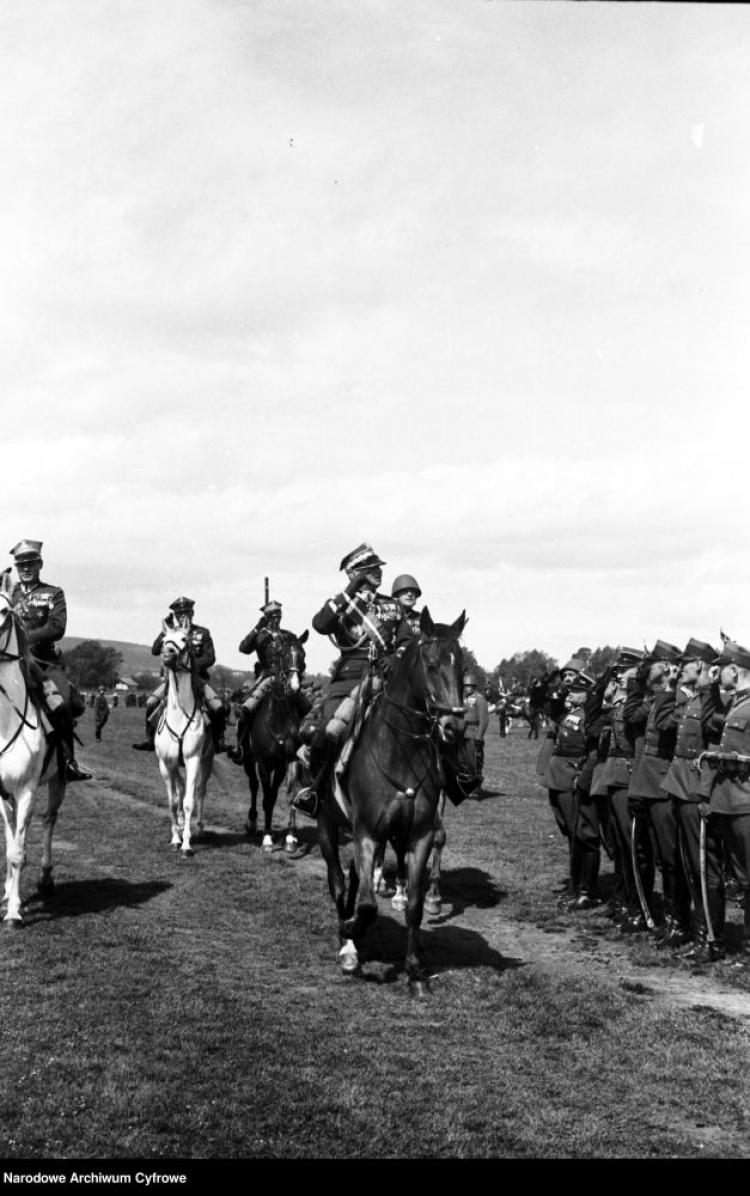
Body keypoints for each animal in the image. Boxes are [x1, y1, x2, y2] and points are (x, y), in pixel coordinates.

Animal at [155, 621, 214, 856]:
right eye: (163, 640)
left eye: (184, 639)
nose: (167, 656)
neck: (179, 713)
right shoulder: (166, 763)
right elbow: (172, 802)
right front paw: (175, 838)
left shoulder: (193, 760)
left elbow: (189, 801)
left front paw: (187, 843)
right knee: (180, 789)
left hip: (206, 762)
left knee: (199, 792)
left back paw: (198, 828)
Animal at [241, 626, 308, 851]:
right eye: (283, 654)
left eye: (303, 655)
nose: (294, 687)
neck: (279, 716)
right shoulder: (262, 762)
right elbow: (267, 797)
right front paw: (268, 837)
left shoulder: (287, 761)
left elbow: (288, 795)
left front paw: (290, 837)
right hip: (248, 760)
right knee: (253, 786)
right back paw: (252, 822)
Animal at [315, 612, 468, 995]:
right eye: (431, 665)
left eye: (463, 668)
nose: (454, 726)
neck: (400, 752)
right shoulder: (367, 833)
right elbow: (369, 905)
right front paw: (350, 931)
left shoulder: (418, 836)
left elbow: (413, 905)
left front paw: (414, 972)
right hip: (326, 824)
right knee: (339, 882)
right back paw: (348, 945)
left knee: (354, 879)